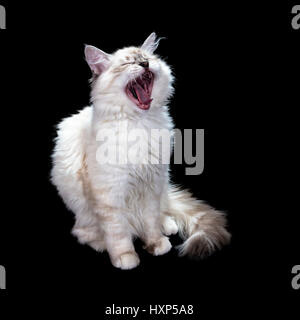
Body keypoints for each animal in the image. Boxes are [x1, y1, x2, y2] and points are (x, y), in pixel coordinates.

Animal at [50, 32, 231, 268]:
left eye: (146, 59)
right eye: (128, 63)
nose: (144, 64)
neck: (139, 123)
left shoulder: (152, 185)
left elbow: (151, 222)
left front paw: (156, 245)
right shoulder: (111, 193)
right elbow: (118, 234)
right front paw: (125, 258)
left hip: (163, 184)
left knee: (164, 211)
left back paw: (167, 227)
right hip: (80, 204)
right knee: (83, 231)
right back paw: (100, 243)